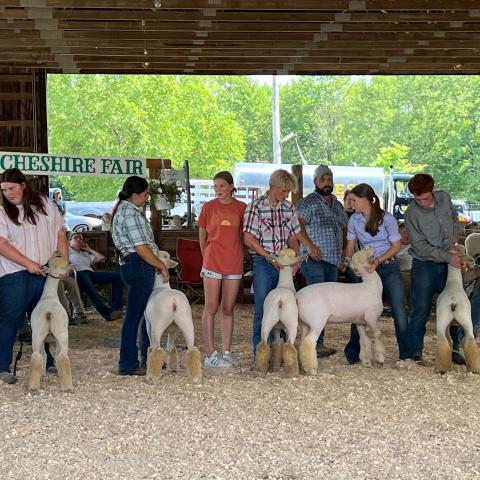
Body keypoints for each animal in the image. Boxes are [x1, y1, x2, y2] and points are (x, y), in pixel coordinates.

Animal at [29, 251, 71, 394]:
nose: (57, 251)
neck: (49, 295)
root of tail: (49, 312)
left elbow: (45, 355)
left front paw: (43, 374)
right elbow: (52, 354)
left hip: (38, 332)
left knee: (37, 355)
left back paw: (34, 387)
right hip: (61, 332)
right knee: (62, 355)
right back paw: (67, 387)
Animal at [143, 251, 202, 382]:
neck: (161, 286)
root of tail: (174, 301)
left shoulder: (148, 324)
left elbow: (152, 346)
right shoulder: (173, 330)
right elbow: (171, 347)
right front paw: (173, 368)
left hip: (157, 325)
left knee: (156, 349)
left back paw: (152, 376)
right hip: (186, 322)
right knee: (191, 350)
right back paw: (195, 377)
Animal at [296, 248, 382, 376]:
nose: (374, 249)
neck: (371, 285)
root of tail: (297, 296)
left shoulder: (360, 322)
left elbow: (364, 340)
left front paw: (366, 362)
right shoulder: (371, 317)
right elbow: (377, 334)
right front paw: (381, 359)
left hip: (305, 323)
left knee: (302, 343)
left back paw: (304, 366)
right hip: (317, 321)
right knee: (309, 342)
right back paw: (312, 369)